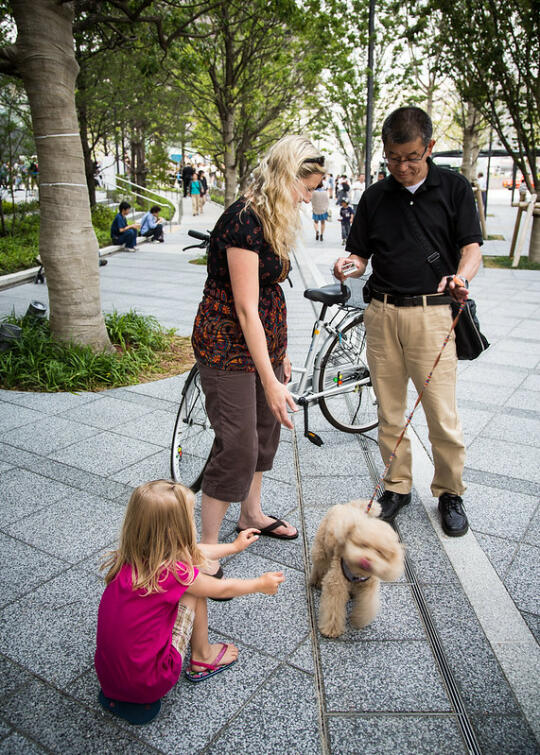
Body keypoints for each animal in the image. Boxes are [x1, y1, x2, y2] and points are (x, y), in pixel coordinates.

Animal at [310, 502, 402, 636]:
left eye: (380, 552)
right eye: (362, 544)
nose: (366, 561)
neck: (358, 572)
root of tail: (349, 505)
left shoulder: (369, 588)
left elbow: (367, 605)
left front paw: (359, 620)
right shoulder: (336, 584)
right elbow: (333, 608)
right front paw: (331, 630)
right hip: (322, 549)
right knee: (320, 566)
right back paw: (316, 581)